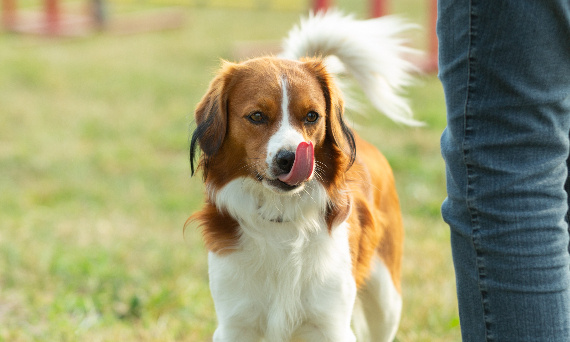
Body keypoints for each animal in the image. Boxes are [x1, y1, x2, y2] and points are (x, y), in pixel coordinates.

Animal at [189, 10, 414, 342]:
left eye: (312, 116)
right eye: (257, 116)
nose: (291, 158)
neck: (280, 218)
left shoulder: (331, 324)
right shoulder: (235, 324)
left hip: (386, 302)